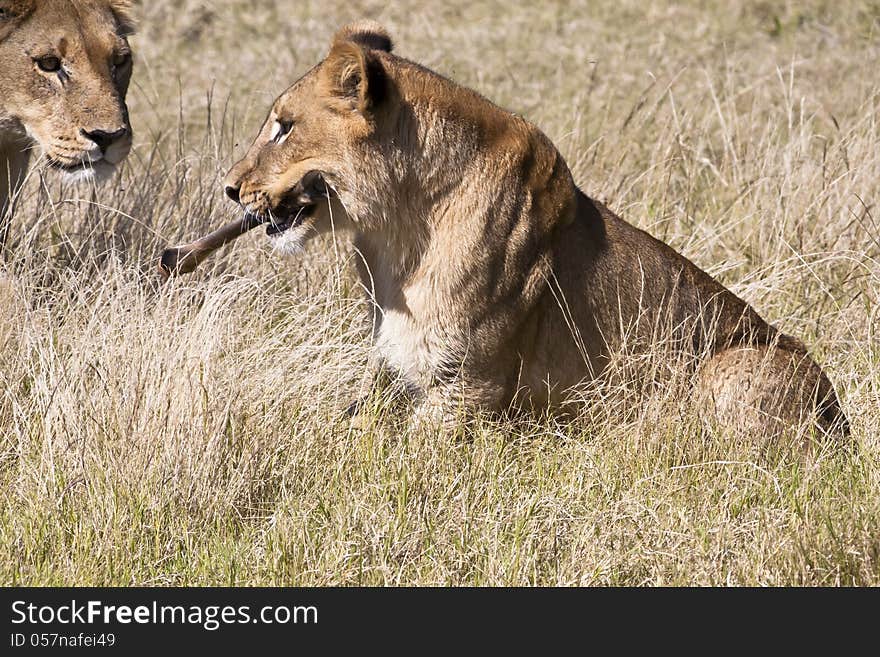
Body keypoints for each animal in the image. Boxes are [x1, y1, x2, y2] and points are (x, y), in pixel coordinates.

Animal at [223, 21, 848, 440]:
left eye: (284, 127)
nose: (229, 188)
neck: (394, 237)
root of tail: (840, 420)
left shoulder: (468, 388)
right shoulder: (395, 372)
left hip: (733, 368)